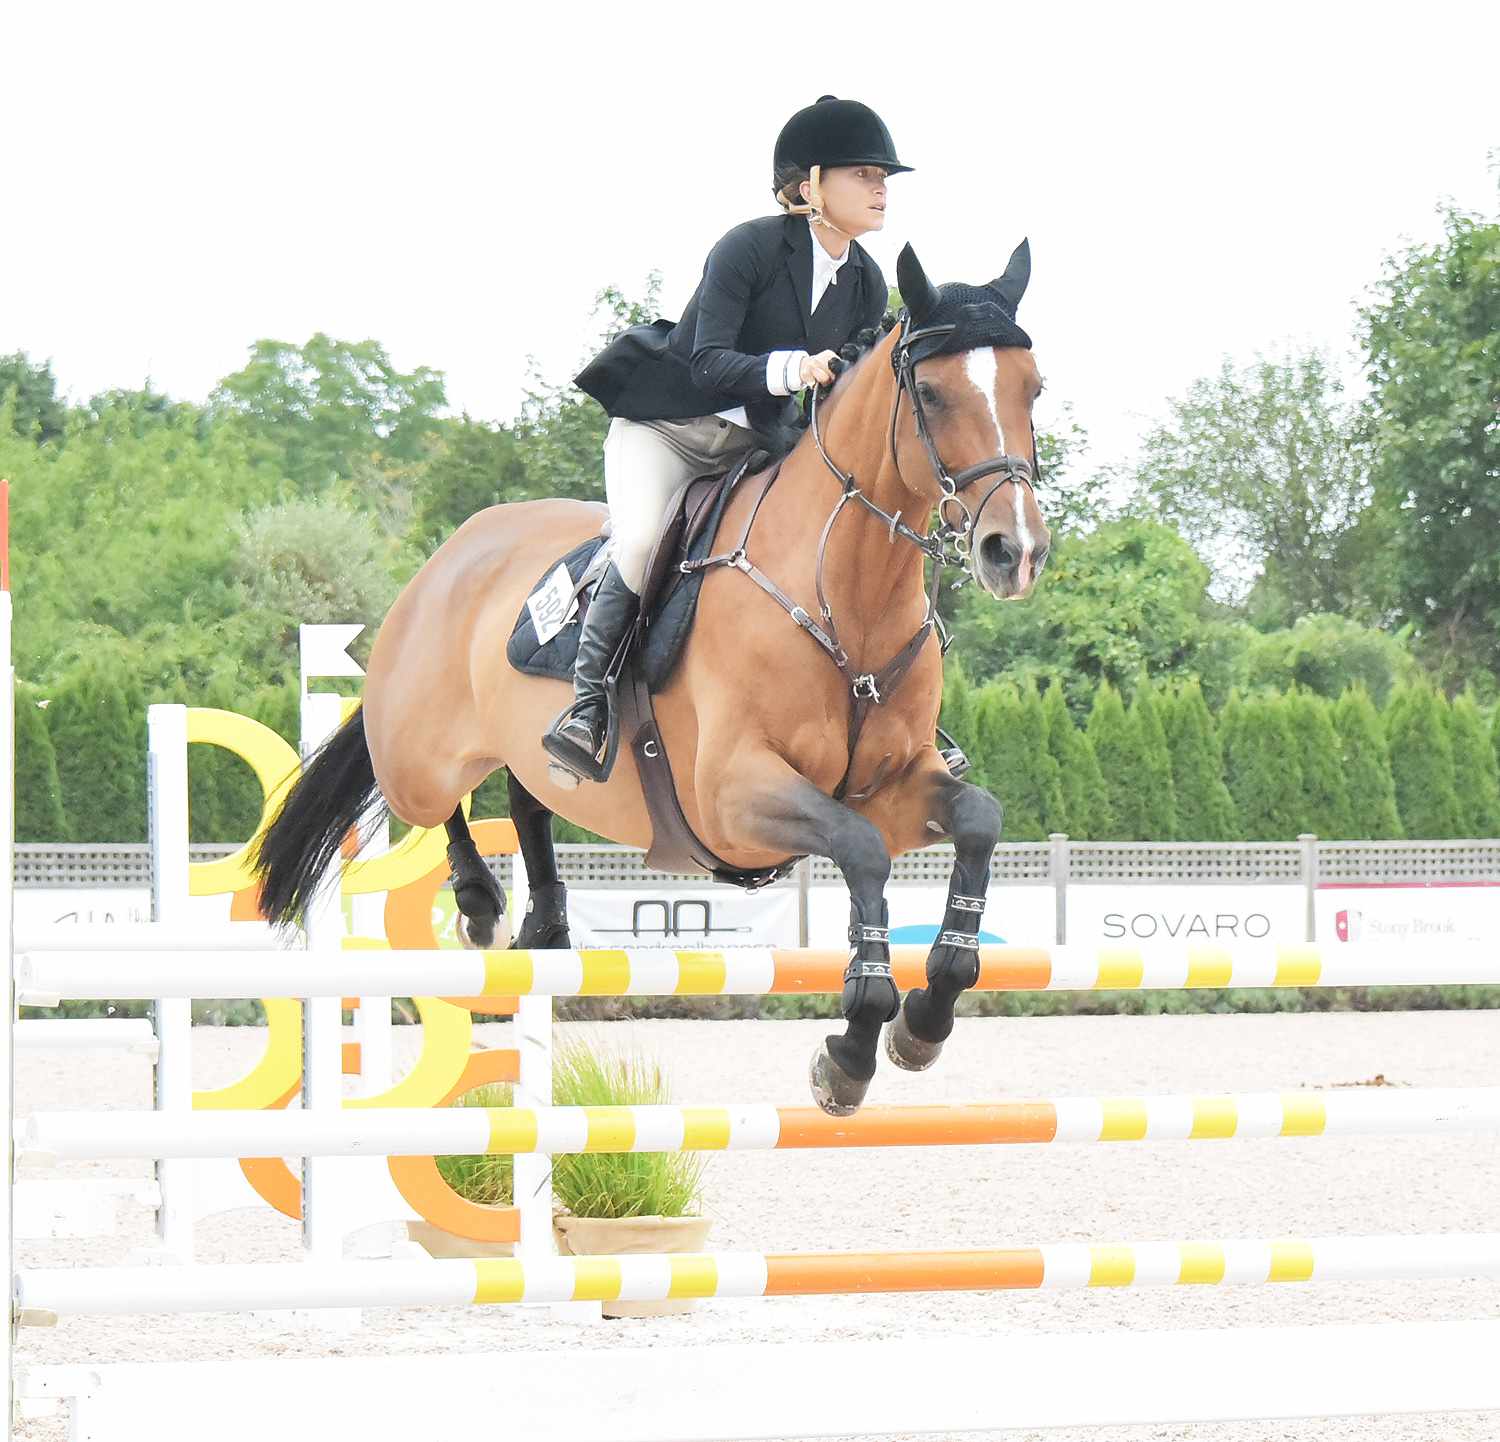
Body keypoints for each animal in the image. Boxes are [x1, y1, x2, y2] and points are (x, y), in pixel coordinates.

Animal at [255, 238, 1056, 1116]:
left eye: (1033, 388)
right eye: (933, 393)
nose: (1014, 552)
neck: (843, 591)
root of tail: (448, 555)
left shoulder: (894, 786)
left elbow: (977, 819)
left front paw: (926, 1016)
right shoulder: (735, 797)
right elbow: (861, 852)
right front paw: (851, 1049)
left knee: (527, 794)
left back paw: (546, 923)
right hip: (420, 757)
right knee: (429, 801)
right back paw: (478, 907)